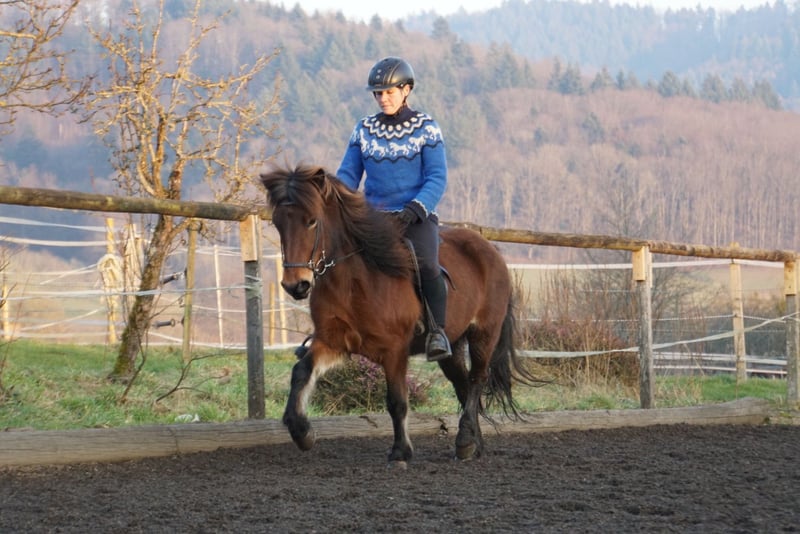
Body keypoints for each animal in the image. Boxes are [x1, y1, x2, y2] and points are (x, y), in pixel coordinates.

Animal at [260, 163, 539, 466]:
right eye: (277, 223)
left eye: (312, 221)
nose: (295, 285)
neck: (356, 281)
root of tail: (491, 249)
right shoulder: (334, 342)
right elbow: (301, 372)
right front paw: (301, 432)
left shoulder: (394, 350)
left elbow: (396, 401)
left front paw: (400, 452)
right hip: (453, 346)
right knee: (464, 386)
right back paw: (473, 445)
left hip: (484, 335)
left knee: (477, 379)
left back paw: (466, 440)